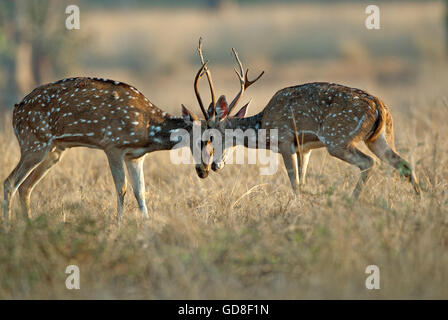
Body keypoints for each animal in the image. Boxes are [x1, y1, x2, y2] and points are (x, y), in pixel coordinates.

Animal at [2, 48, 217, 225]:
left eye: (213, 142)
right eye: (201, 140)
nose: (205, 171)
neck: (147, 130)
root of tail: (15, 112)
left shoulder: (135, 156)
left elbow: (141, 192)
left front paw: (147, 227)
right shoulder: (112, 145)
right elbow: (121, 189)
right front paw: (118, 224)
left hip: (55, 150)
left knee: (25, 187)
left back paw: (29, 225)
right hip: (33, 143)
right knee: (10, 182)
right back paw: (8, 227)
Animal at [201, 43, 422, 199]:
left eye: (211, 135)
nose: (213, 166)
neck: (264, 127)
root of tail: (379, 106)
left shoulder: (285, 141)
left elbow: (295, 184)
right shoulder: (304, 149)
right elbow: (302, 182)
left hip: (337, 138)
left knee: (369, 162)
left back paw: (352, 201)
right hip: (379, 138)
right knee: (403, 163)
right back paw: (420, 200)